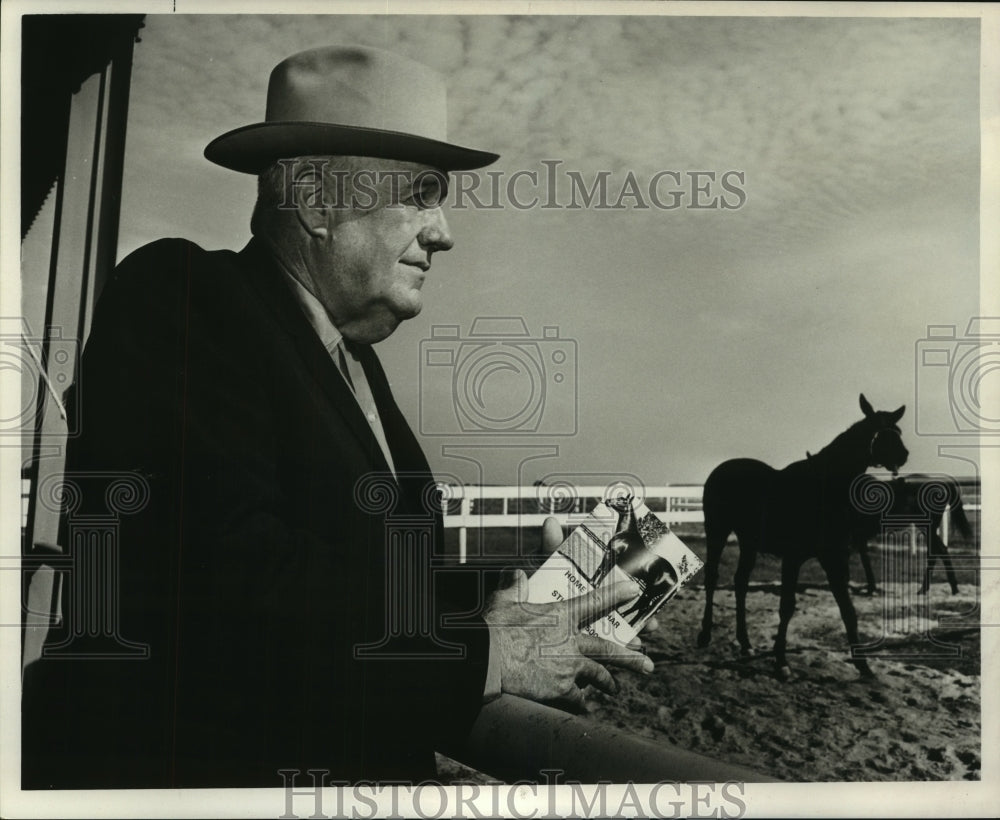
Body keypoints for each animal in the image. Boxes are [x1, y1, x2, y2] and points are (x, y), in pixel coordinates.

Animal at [700, 396, 912, 680]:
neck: (823, 489)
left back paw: (745, 643)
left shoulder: (835, 558)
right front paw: (781, 661)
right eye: (879, 432)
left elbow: (848, 610)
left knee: (741, 582)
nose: (903, 455)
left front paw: (863, 665)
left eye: (897, 430)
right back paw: (705, 634)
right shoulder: (793, 558)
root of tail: (722, 469)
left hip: (748, 541)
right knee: (712, 577)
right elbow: (786, 606)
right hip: (717, 531)